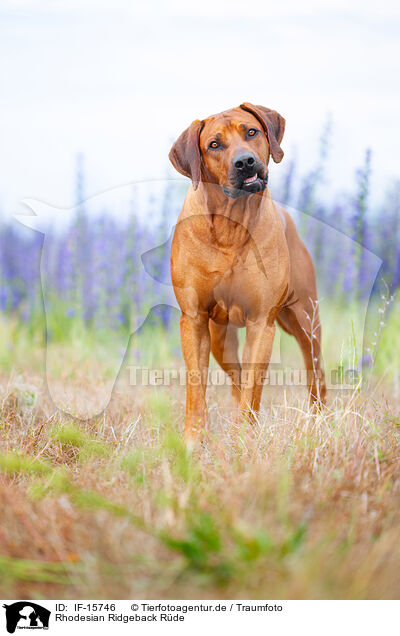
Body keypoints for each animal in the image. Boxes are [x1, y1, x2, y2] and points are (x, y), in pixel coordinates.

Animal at [168, 103, 324, 442]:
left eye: (251, 132)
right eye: (214, 144)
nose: (245, 162)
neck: (231, 225)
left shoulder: (261, 322)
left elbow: (254, 388)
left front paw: (245, 439)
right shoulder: (194, 319)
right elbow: (196, 388)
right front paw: (193, 440)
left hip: (305, 319)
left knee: (315, 372)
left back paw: (320, 420)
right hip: (219, 337)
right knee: (236, 376)